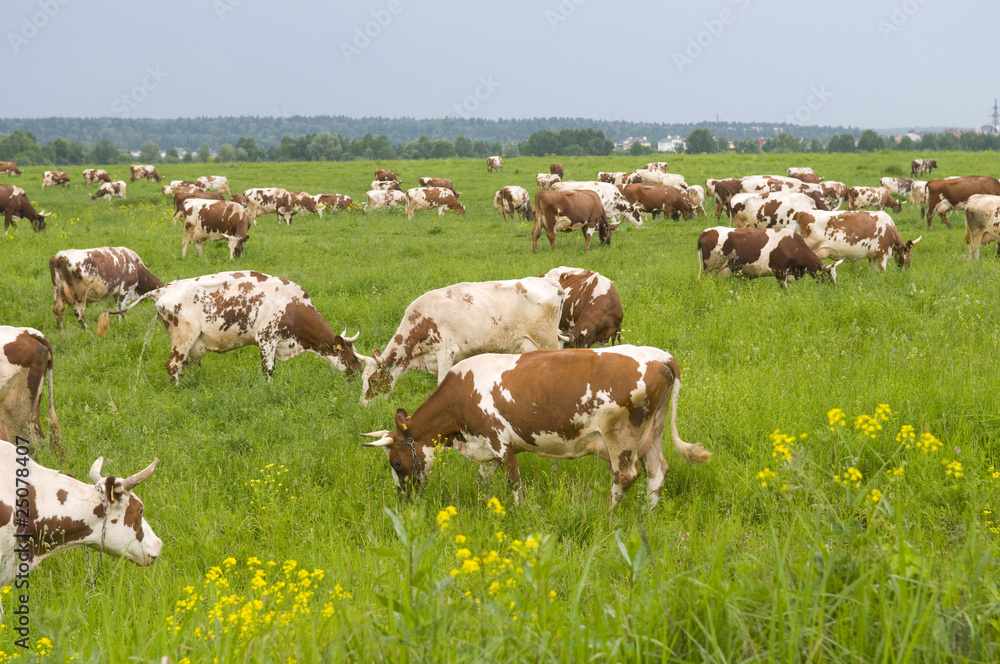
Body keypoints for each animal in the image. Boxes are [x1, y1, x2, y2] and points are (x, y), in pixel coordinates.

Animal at [101, 271, 364, 384]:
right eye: (352, 357)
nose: (359, 374)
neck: (292, 305)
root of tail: (165, 289)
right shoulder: (266, 338)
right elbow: (268, 370)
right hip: (183, 338)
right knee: (173, 365)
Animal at [359, 277, 567, 404]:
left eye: (374, 380)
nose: (363, 405)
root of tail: (548, 281)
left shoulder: (446, 351)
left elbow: (441, 381)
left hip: (547, 339)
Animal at [361, 345, 710, 507]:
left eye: (396, 462)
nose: (401, 496)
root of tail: (661, 356)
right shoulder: (485, 449)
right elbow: (484, 482)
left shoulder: (501, 443)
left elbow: (514, 484)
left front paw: (518, 512)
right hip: (651, 434)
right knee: (657, 472)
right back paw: (646, 513)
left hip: (621, 437)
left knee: (625, 476)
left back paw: (609, 516)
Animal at [697, 227, 841, 286]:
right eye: (829, 277)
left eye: (835, 277)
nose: (833, 290)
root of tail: (707, 231)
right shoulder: (780, 271)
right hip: (710, 269)